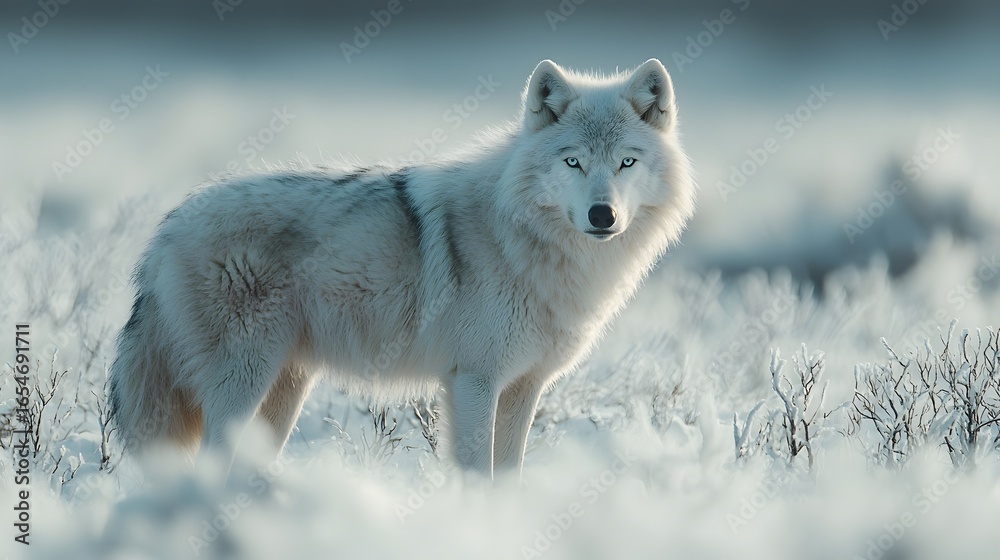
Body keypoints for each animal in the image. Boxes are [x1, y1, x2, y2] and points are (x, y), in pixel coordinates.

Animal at [108, 58, 696, 478]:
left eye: (626, 162)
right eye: (573, 161)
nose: (603, 215)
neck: (527, 242)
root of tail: (167, 229)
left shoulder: (523, 387)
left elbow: (509, 477)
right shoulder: (474, 381)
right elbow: (477, 477)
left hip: (283, 391)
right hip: (242, 384)